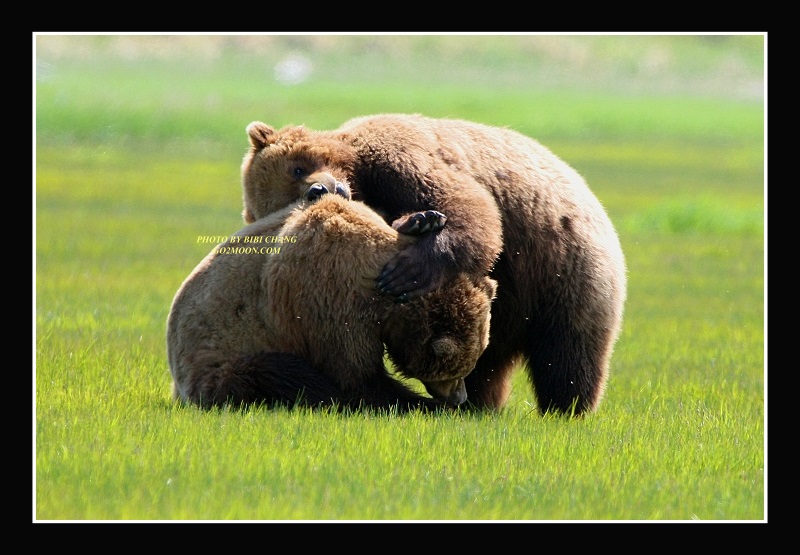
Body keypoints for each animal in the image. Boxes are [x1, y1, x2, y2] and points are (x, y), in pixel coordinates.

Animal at [167, 182, 497, 412]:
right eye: (457, 370)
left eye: (473, 361)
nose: (460, 396)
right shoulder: (333, 296)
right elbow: (357, 377)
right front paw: (427, 406)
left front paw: (423, 219)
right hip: (220, 363)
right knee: (281, 373)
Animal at [241, 113, 627, 416]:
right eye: (286, 198)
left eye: (297, 168)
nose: (320, 189)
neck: (360, 175)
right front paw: (414, 227)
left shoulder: (396, 156)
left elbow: (468, 206)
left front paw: (410, 268)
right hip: (512, 306)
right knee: (488, 361)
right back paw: (479, 403)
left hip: (566, 267)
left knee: (569, 352)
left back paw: (567, 408)